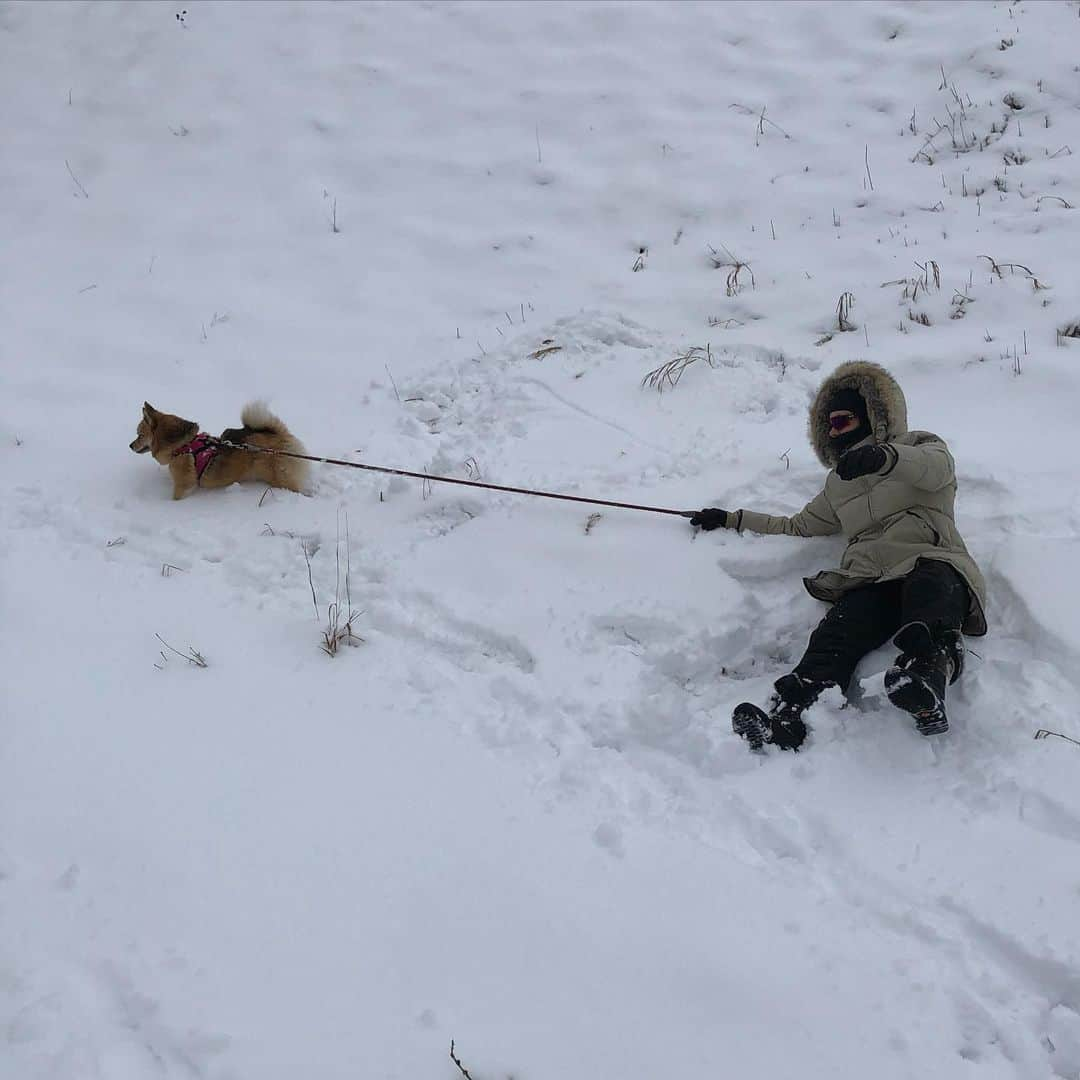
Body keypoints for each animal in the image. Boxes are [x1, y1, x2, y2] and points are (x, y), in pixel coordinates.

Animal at [130, 403, 311, 498]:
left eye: (139, 435)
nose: (130, 445)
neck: (182, 445)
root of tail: (280, 434)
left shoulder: (183, 486)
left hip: (280, 478)